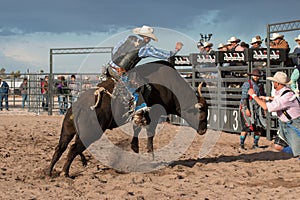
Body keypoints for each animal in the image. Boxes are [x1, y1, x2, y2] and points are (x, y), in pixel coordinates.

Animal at [48, 61, 209, 177]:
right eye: (202, 113)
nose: (203, 130)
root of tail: (79, 105)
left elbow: (136, 135)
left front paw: (136, 153)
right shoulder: (154, 114)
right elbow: (150, 137)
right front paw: (150, 158)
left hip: (68, 130)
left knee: (61, 147)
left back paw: (50, 171)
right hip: (91, 131)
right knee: (73, 148)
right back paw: (65, 173)